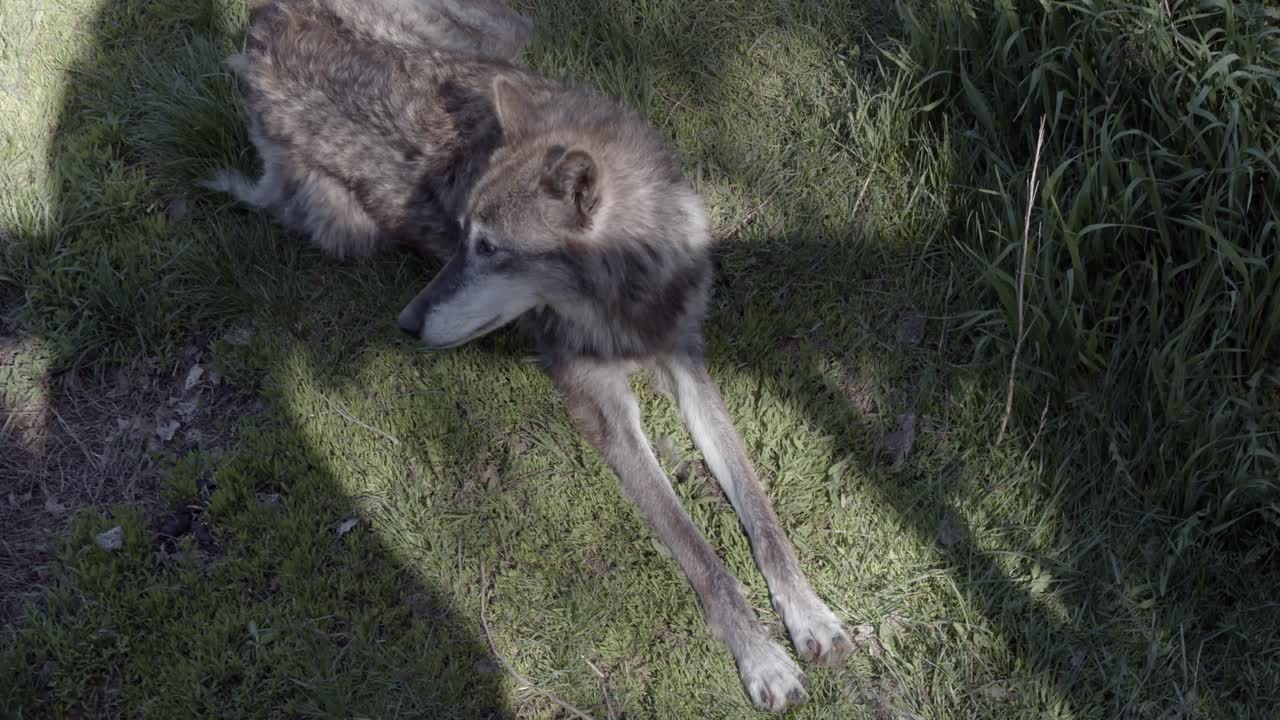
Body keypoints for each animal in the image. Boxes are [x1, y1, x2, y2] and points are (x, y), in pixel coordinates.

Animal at [205, 0, 853, 711]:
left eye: (491, 249)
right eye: (462, 234)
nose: (405, 324)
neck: (627, 296)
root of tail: (262, 23)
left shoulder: (686, 361)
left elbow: (761, 513)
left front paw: (810, 615)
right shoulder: (605, 413)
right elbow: (698, 552)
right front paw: (761, 657)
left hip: (505, 36)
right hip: (350, 224)